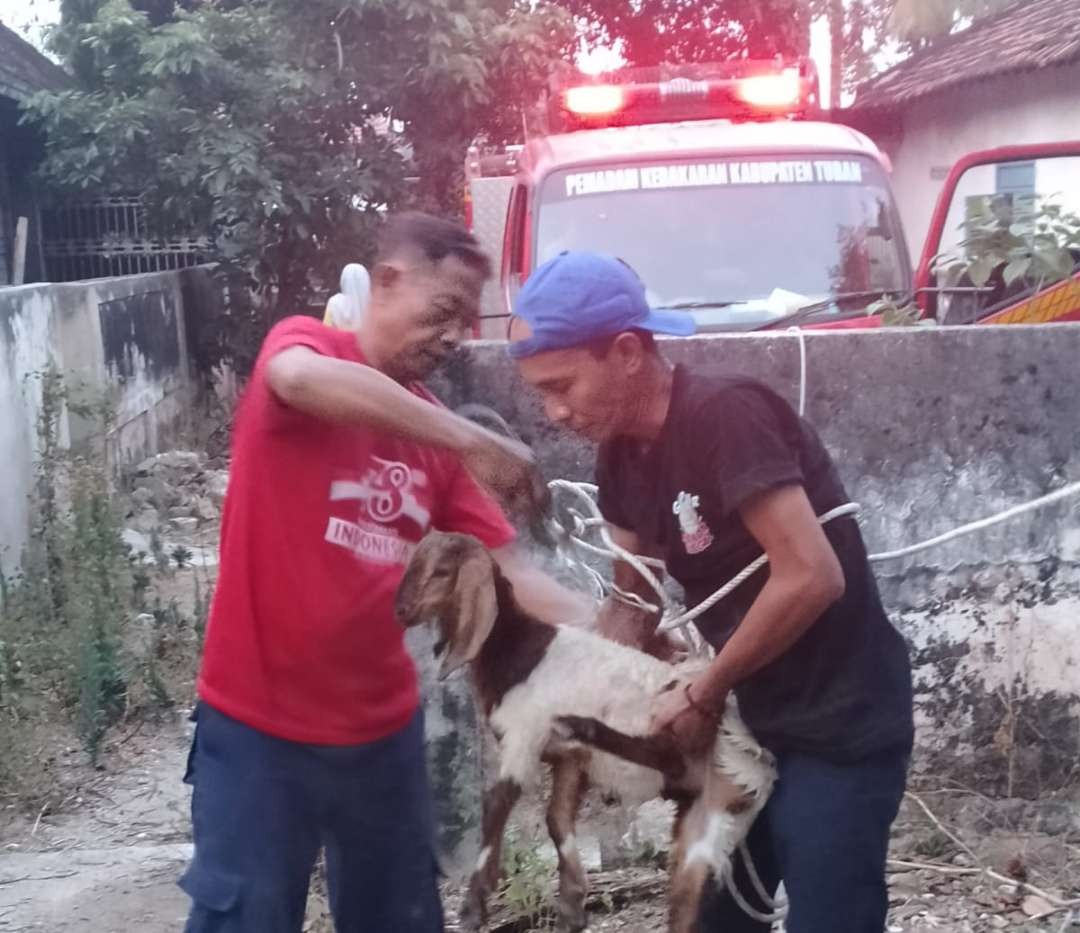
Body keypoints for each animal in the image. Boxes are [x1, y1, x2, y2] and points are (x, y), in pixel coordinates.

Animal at [395, 531, 777, 933]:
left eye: (442, 571)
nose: (401, 610)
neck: (522, 650)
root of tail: (758, 759)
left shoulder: (524, 736)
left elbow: (496, 805)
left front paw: (473, 906)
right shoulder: (568, 761)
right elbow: (557, 819)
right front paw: (572, 905)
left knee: (665, 750)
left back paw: (586, 724)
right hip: (709, 820)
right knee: (686, 898)